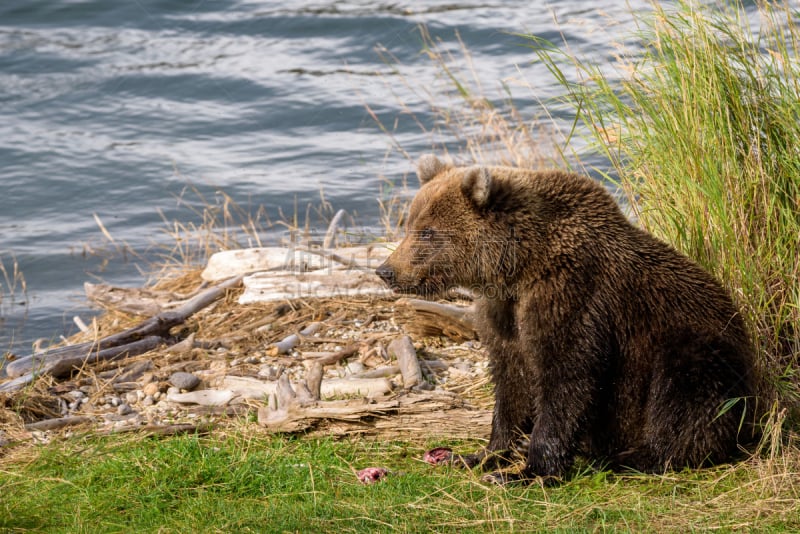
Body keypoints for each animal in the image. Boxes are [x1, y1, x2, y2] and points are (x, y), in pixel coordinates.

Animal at [378, 155, 760, 486]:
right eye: (409, 224)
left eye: (427, 231)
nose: (386, 270)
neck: (520, 267)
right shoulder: (505, 314)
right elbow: (511, 381)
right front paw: (480, 455)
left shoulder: (572, 297)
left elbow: (567, 377)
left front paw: (527, 472)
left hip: (698, 346)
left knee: (684, 394)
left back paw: (631, 457)